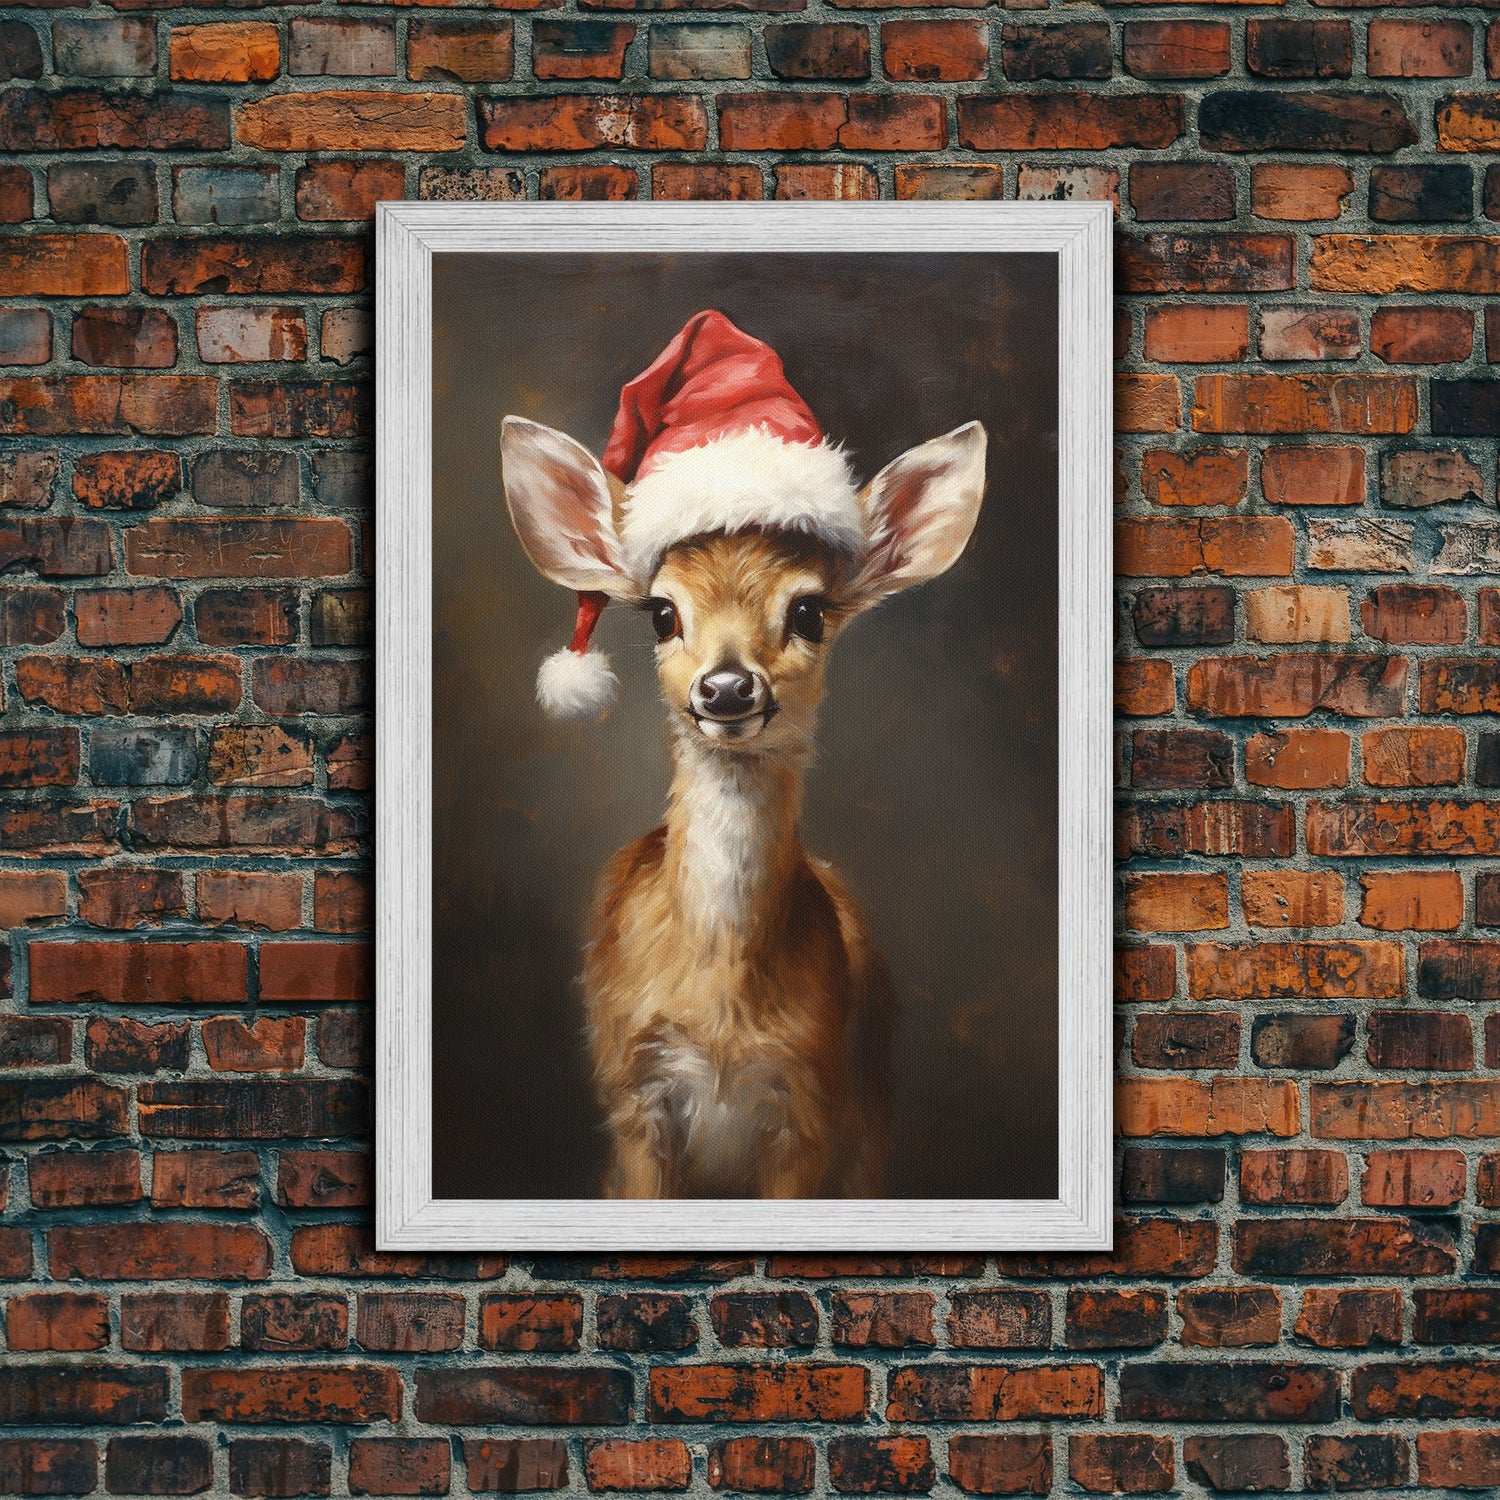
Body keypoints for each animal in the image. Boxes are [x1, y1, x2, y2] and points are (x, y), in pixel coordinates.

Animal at [500, 309, 987, 1199]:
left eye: (810, 610)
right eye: (662, 612)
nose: (727, 688)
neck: (721, 1010)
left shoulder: (810, 1102)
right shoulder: (631, 1094)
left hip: (873, 1107)